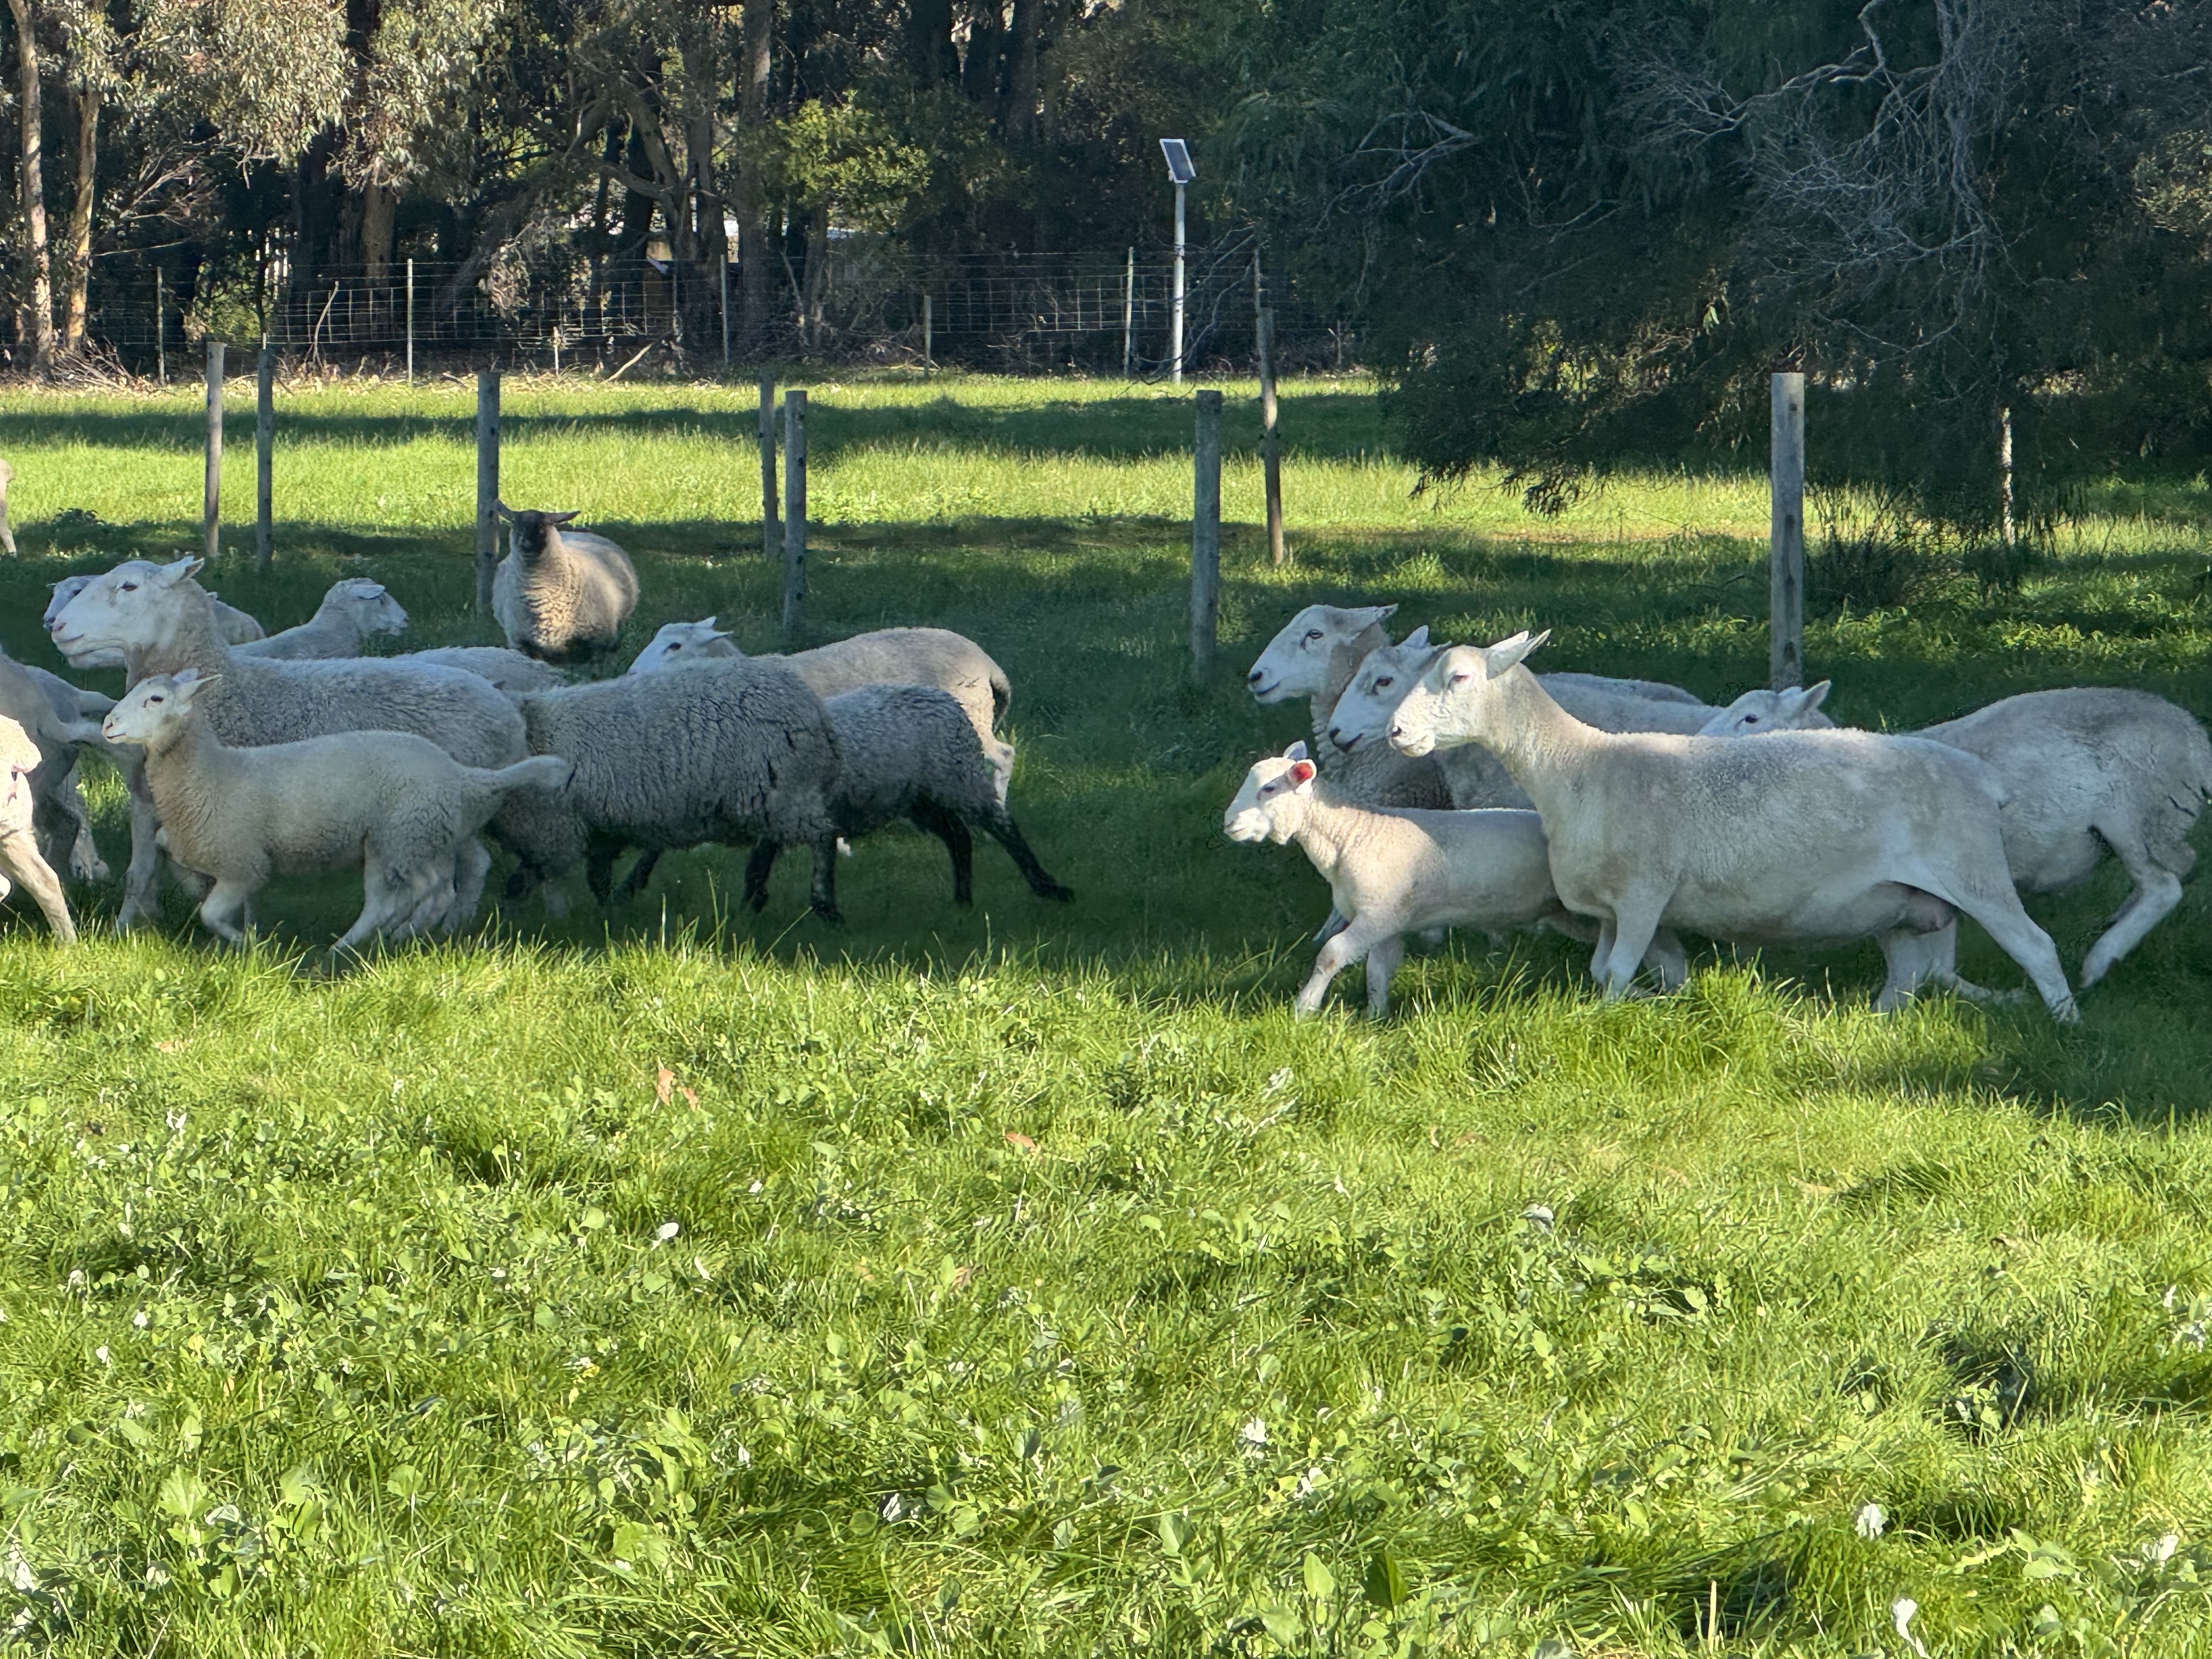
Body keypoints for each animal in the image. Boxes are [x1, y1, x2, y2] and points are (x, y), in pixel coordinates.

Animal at [102, 670, 569, 950]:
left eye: (155, 699)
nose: (107, 724)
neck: (211, 772)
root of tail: (459, 774)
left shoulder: (242, 863)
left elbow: (212, 913)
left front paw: (252, 945)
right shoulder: (228, 859)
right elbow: (195, 879)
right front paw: (245, 931)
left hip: (394, 837)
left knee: (395, 898)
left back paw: (351, 944)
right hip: (416, 837)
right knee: (432, 889)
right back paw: (399, 937)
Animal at [486, 659, 845, 921]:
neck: (533, 730)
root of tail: (816, 711)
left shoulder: (551, 831)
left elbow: (522, 881)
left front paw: (508, 919)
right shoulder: (598, 827)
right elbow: (597, 879)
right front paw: (610, 913)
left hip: (782, 792)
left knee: (823, 836)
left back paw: (824, 905)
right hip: (772, 795)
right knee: (772, 843)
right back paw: (753, 896)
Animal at [1225, 742, 1683, 1017]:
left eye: (1268, 790)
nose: (1228, 823)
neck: (1352, 834)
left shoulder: (1376, 914)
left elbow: (1331, 955)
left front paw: (1304, 1009)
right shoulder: (1389, 920)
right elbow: (1377, 973)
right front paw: (1375, 1017)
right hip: (1573, 914)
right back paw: (1666, 993)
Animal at [1386, 631, 2079, 1019]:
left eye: (1458, 677)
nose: (1395, 732)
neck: (1579, 767)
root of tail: (1982, 778)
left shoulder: (1644, 893)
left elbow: (1615, 974)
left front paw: (1608, 1019)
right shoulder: (1614, 908)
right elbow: (1607, 971)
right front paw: (1655, 1004)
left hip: (1972, 869)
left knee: (2036, 946)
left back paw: (2065, 1022)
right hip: (1900, 903)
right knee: (1908, 974)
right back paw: (1876, 1022)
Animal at [1698, 681, 2210, 989]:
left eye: (1751, 719)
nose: (1699, 744)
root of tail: (2194, 735)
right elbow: (1937, 961)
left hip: (2138, 814)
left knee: (2162, 887)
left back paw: (2101, 960)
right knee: (2168, 874)